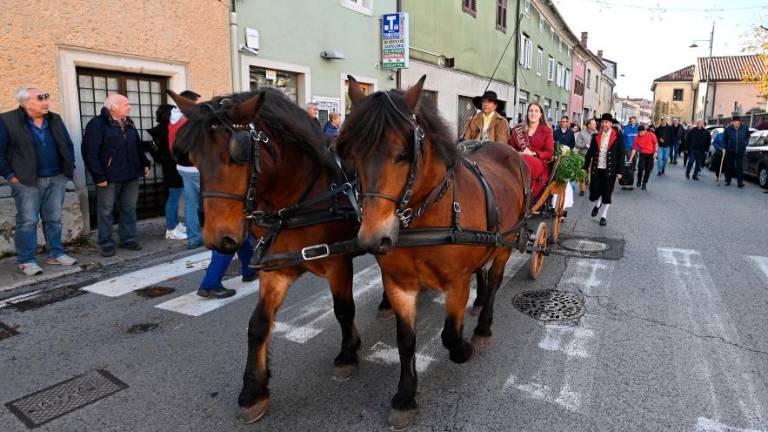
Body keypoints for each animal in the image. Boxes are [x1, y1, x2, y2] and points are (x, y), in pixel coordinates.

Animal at [170, 89, 366, 424]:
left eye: (239, 155)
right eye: (193, 158)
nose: (219, 239)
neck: (297, 202)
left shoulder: (338, 263)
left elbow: (343, 309)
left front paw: (348, 352)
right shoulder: (275, 270)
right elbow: (258, 324)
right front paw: (253, 391)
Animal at [340, 77, 532, 428]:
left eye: (403, 155)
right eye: (352, 154)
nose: (373, 239)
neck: (429, 215)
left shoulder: (456, 284)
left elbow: (451, 337)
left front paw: (465, 349)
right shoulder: (398, 285)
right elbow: (406, 341)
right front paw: (405, 396)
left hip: (507, 242)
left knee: (495, 280)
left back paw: (483, 326)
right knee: (483, 273)